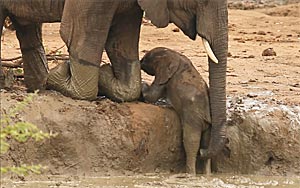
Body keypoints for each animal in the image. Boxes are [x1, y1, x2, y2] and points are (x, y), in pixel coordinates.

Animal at [142, 47, 212, 175]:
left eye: (146, 58)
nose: (140, 62)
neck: (174, 54)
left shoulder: (166, 75)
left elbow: (153, 95)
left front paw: (143, 83)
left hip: (193, 117)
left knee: (191, 140)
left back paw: (190, 174)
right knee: (206, 143)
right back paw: (207, 175)